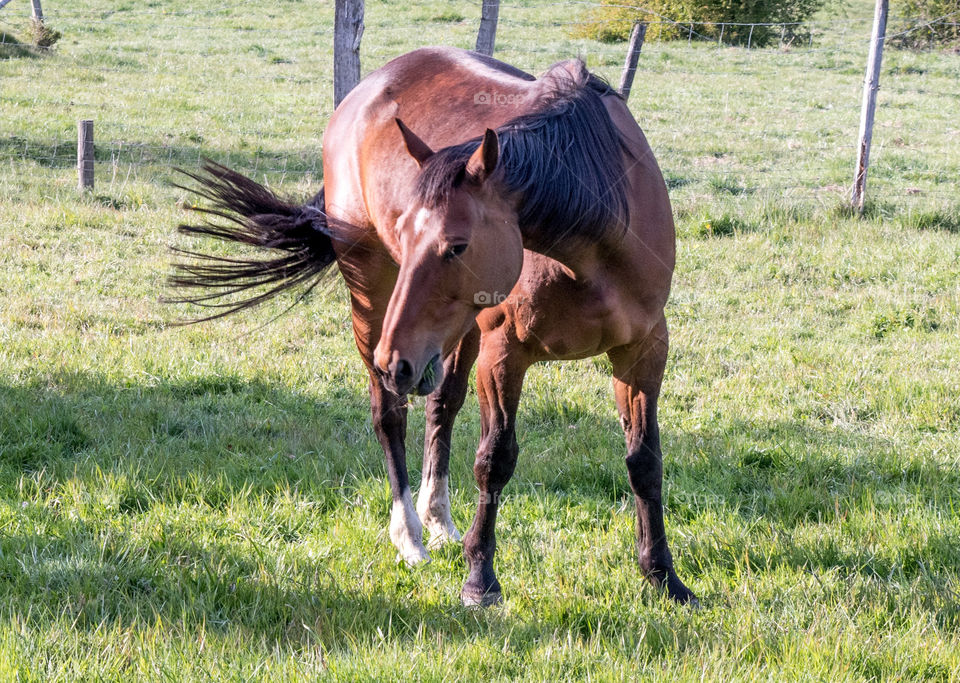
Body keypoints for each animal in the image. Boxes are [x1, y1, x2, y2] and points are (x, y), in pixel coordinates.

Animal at [171, 45, 696, 608]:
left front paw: (663, 576)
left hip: (450, 335)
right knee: (390, 415)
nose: (393, 360)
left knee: (441, 404)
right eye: (403, 232)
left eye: (457, 245)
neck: (593, 242)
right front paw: (480, 579)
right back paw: (411, 536)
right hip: (375, 302)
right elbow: (495, 459)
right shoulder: (504, 354)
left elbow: (644, 460)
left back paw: (439, 520)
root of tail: (367, 88)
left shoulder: (643, 351)